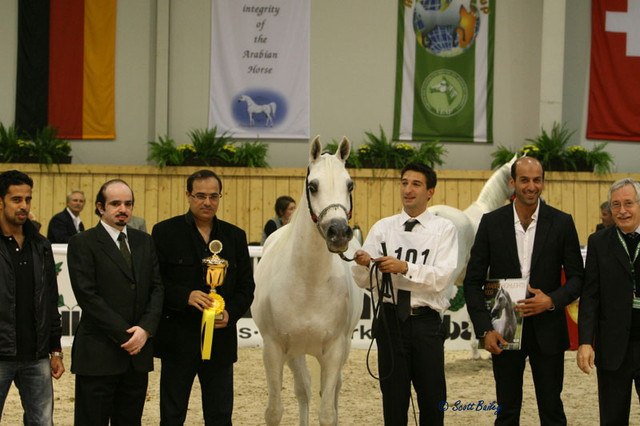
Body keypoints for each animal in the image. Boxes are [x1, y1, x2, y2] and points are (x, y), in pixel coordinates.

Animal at [252, 136, 363, 425]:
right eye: (313, 186)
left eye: (350, 185)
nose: (339, 232)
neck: (308, 284)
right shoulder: (274, 349)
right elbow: (275, 411)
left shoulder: (334, 351)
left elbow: (327, 412)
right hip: (296, 353)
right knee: (304, 389)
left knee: (332, 391)